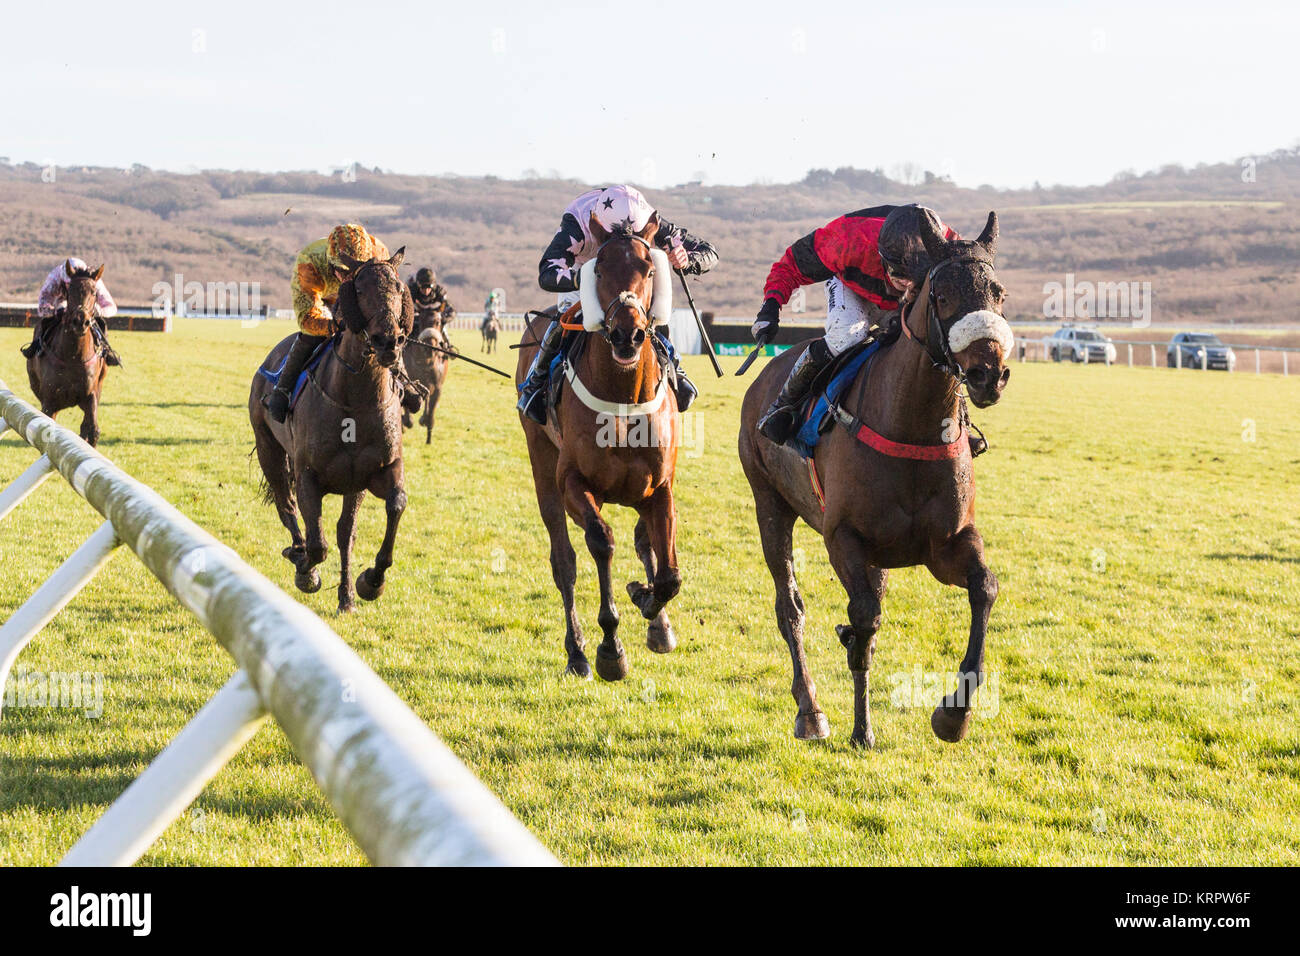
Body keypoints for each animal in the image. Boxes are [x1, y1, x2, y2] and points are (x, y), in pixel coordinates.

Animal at [250, 248, 413, 613]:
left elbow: (389, 509)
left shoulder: (375, 472)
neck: (354, 400)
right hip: (269, 450)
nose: (388, 341)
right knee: (286, 506)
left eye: (398, 287)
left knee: (341, 531)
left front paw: (369, 583)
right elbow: (317, 545)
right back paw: (296, 553)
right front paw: (305, 571)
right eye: (360, 290)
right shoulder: (307, 475)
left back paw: (347, 594)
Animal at [514, 217, 686, 681]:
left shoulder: (659, 488)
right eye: (599, 270)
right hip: (542, 465)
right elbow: (601, 542)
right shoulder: (574, 482)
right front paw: (611, 648)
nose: (628, 333)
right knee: (564, 561)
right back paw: (576, 652)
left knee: (646, 544)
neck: (623, 399)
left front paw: (647, 601)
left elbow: (668, 575)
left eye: (650, 269)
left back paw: (658, 625)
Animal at [738, 213, 1008, 749]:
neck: (911, 422)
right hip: (769, 503)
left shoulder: (947, 543)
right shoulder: (843, 537)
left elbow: (984, 589)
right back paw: (810, 711)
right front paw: (860, 726)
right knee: (789, 607)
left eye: (999, 294)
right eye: (942, 294)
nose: (989, 373)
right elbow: (864, 616)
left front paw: (954, 715)